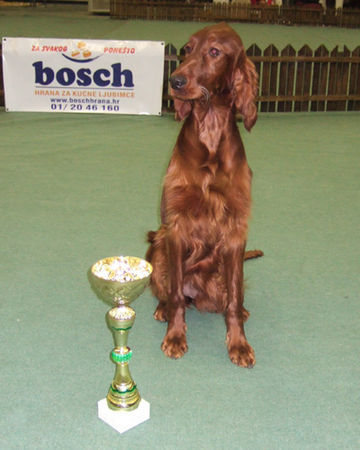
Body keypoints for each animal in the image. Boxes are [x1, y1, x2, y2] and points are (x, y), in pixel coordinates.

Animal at [146, 22, 262, 368]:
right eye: (186, 50)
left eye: (214, 52)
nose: (175, 81)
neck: (209, 128)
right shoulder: (176, 226)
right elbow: (174, 295)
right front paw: (175, 337)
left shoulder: (236, 230)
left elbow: (234, 299)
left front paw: (238, 344)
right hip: (158, 248)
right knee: (170, 291)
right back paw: (162, 310)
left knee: (230, 297)